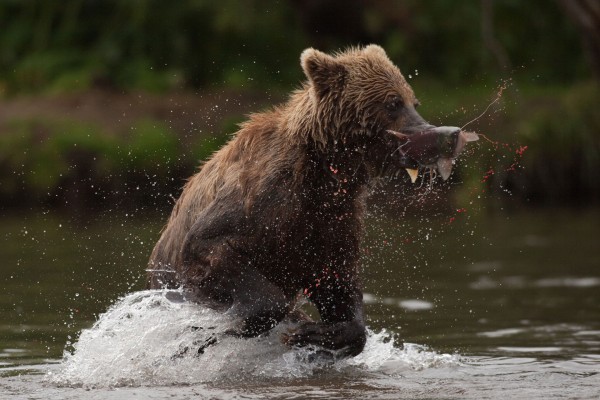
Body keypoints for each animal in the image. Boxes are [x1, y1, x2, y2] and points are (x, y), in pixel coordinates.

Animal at [148, 45, 462, 358]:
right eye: (393, 102)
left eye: (414, 102)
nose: (445, 134)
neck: (324, 173)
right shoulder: (264, 199)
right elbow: (212, 244)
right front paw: (239, 327)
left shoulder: (331, 220)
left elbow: (338, 282)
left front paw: (315, 333)